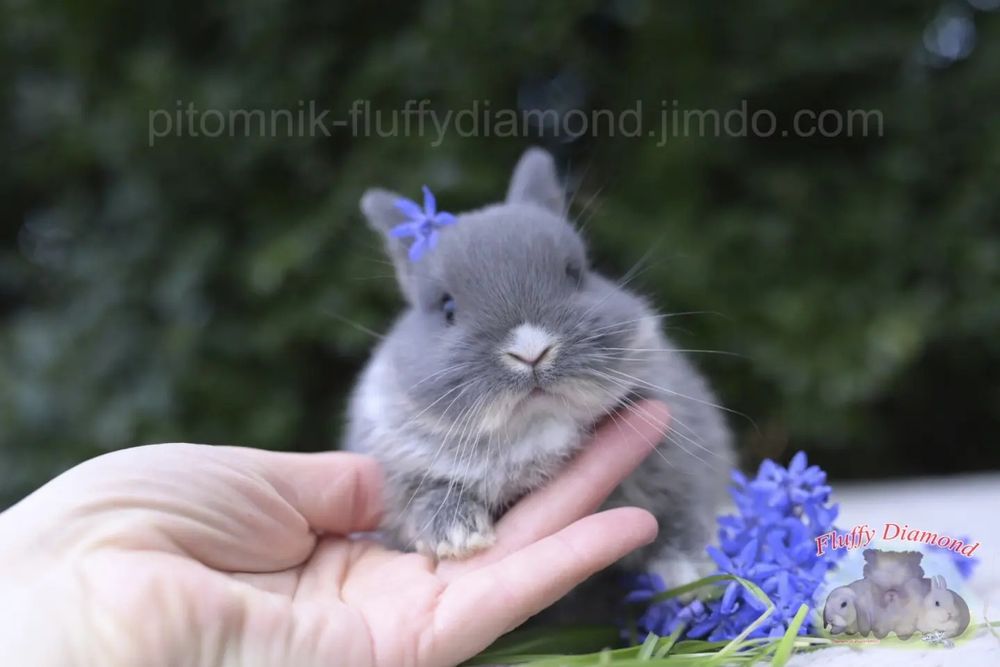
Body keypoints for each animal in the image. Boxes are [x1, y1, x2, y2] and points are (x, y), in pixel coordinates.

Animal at [346, 147, 734, 607]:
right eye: (447, 308)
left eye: (575, 274)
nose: (531, 351)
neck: (537, 426)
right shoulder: (401, 476)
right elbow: (425, 497)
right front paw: (459, 539)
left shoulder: (682, 460)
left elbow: (682, 515)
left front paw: (695, 577)